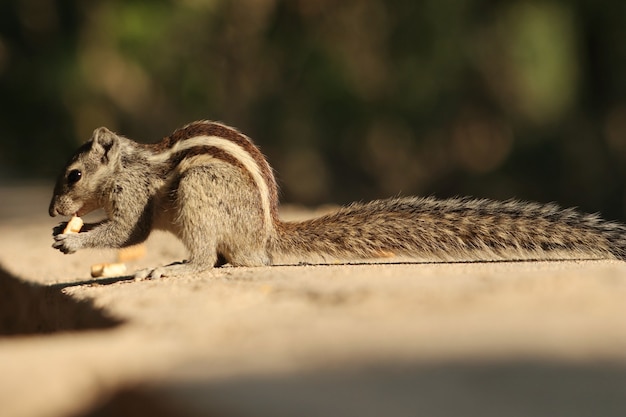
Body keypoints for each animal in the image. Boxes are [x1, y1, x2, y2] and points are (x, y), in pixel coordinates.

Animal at [50, 118, 624, 278]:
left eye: (73, 175)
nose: (52, 211)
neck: (128, 162)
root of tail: (266, 236)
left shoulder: (134, 195)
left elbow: (128, 230)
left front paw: (72, 241)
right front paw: (63, 233)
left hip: (199, 190)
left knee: (209, 258)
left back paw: (175, 266)